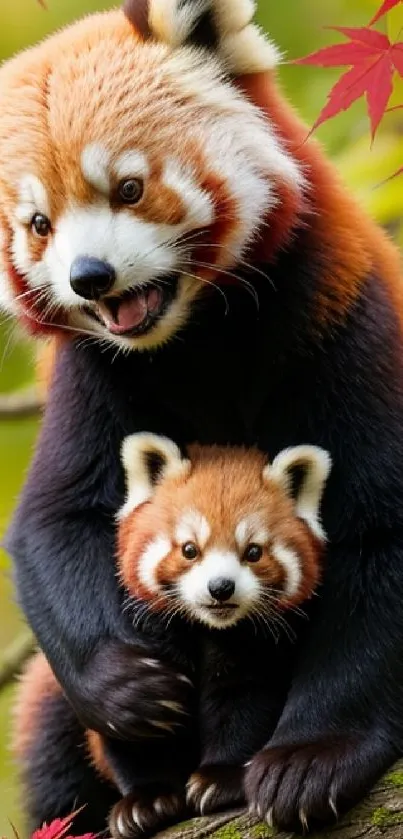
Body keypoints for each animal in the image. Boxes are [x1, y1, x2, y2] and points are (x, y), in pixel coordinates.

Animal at [15, 434, 332, 839]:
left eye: (254, 552)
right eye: (189, 549)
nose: (221, 588)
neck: (206, 626)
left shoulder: (257, 642)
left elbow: (245, 699)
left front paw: (222, 777)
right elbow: (130, 718)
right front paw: (148, 797)